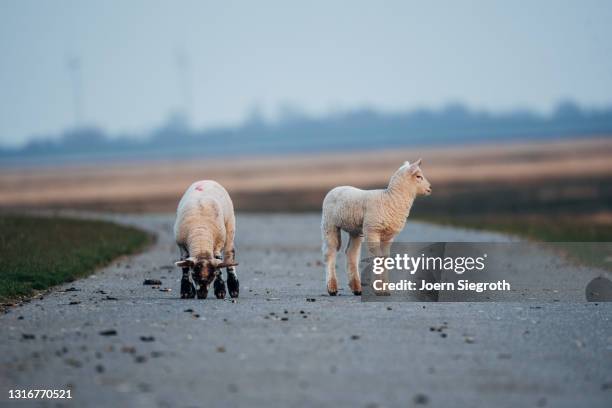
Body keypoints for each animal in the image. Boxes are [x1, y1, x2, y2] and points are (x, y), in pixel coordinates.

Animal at [320, 159, 430, 296]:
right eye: (418, 176)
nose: (430, 188)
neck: (390, 198)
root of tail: (335, 188)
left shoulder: (388, 237)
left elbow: (385, 259)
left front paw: (385, 289)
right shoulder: (373, 231)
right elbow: (378, 258)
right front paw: (379, 288)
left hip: (355, 230)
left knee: (351, 253)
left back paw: (357, 288)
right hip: (329, 224)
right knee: (329, 252)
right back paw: (332, 288)